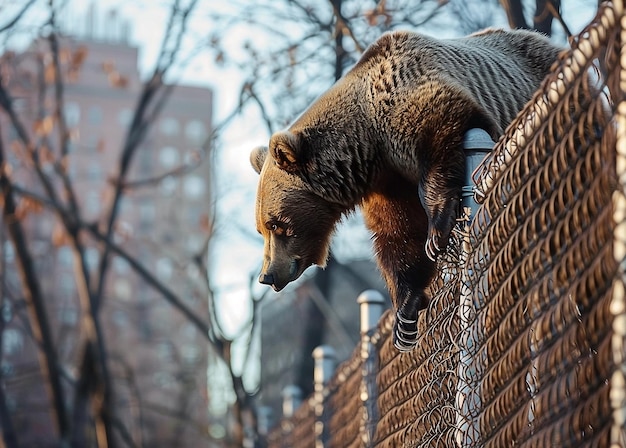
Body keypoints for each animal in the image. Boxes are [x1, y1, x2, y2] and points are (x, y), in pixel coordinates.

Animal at [249, 28, 560, 352]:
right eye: (261, 229)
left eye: (276, 224)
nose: (267, 275)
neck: (368, 143)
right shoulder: (388, 184)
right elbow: (400, 234)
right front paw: (405, 316)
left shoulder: (410, 106)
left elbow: (447, 134)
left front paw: (437, 232)